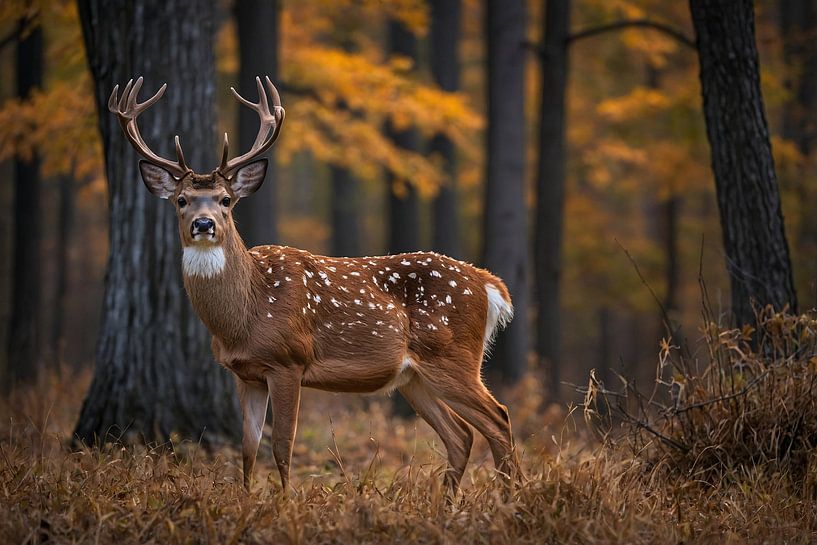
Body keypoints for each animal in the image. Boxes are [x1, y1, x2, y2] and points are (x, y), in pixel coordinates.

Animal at [108, 75, 520, 494]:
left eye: (226, 200)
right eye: (181, 200)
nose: (204, 224)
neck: (246, 314)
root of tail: (490, 285)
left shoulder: (288, 360)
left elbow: (282, 445)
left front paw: (285, 502)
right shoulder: (245, 374)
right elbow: (247, 448)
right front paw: (246, 501)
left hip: (453, 356)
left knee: (498, 418)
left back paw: (511, 497)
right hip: (413, 378)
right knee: (461, 435)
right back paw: (449, 501)